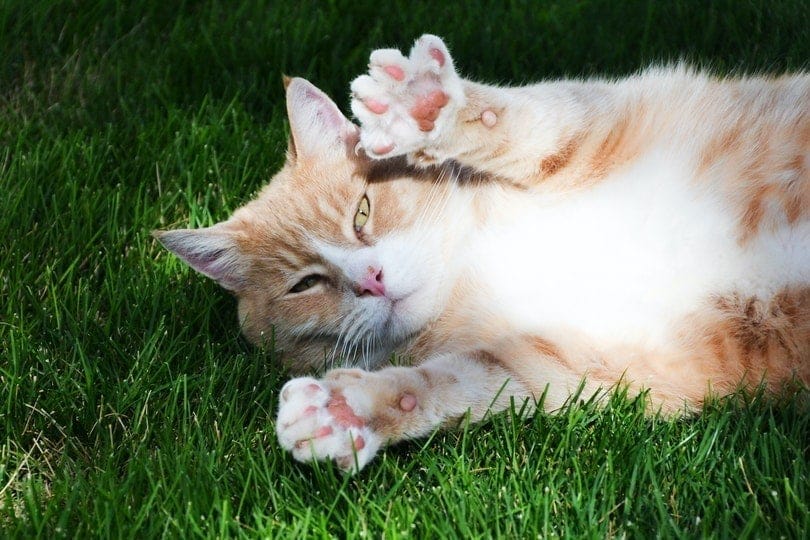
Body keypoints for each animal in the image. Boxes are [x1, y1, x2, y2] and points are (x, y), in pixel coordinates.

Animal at [155, 34, 804, 472]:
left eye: (362, 212)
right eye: (305, 284)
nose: (372, 279)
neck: (475, 261)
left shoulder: (593, 124)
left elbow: (525, 122)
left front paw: (423, 108)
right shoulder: (582, 364)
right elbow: (449, 384)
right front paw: (349, 410)